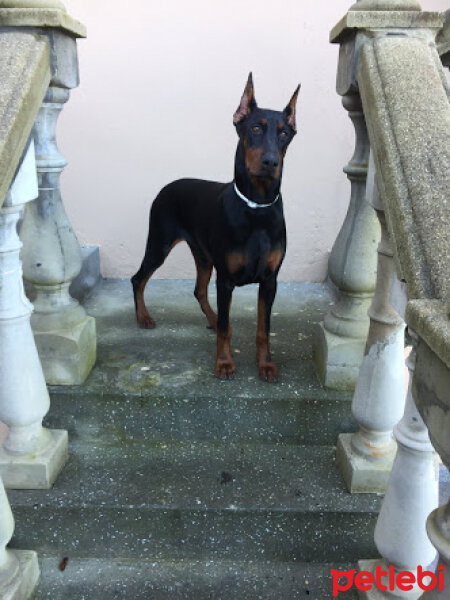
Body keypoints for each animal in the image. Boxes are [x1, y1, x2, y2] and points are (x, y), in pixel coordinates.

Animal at [131, 75, 298, 382]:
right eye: (255, 127)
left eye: (284, 133)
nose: (271, 162)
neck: (256, 208)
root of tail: (168, 186)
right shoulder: (226, 279)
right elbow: (225, 327)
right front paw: (224, 363)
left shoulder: (270, 280)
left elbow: (263, 330)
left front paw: (266, 365)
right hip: (159, 243)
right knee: (139, 279)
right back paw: (144, 317)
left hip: (203, 255)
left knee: (200, 291)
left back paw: (209, 318)